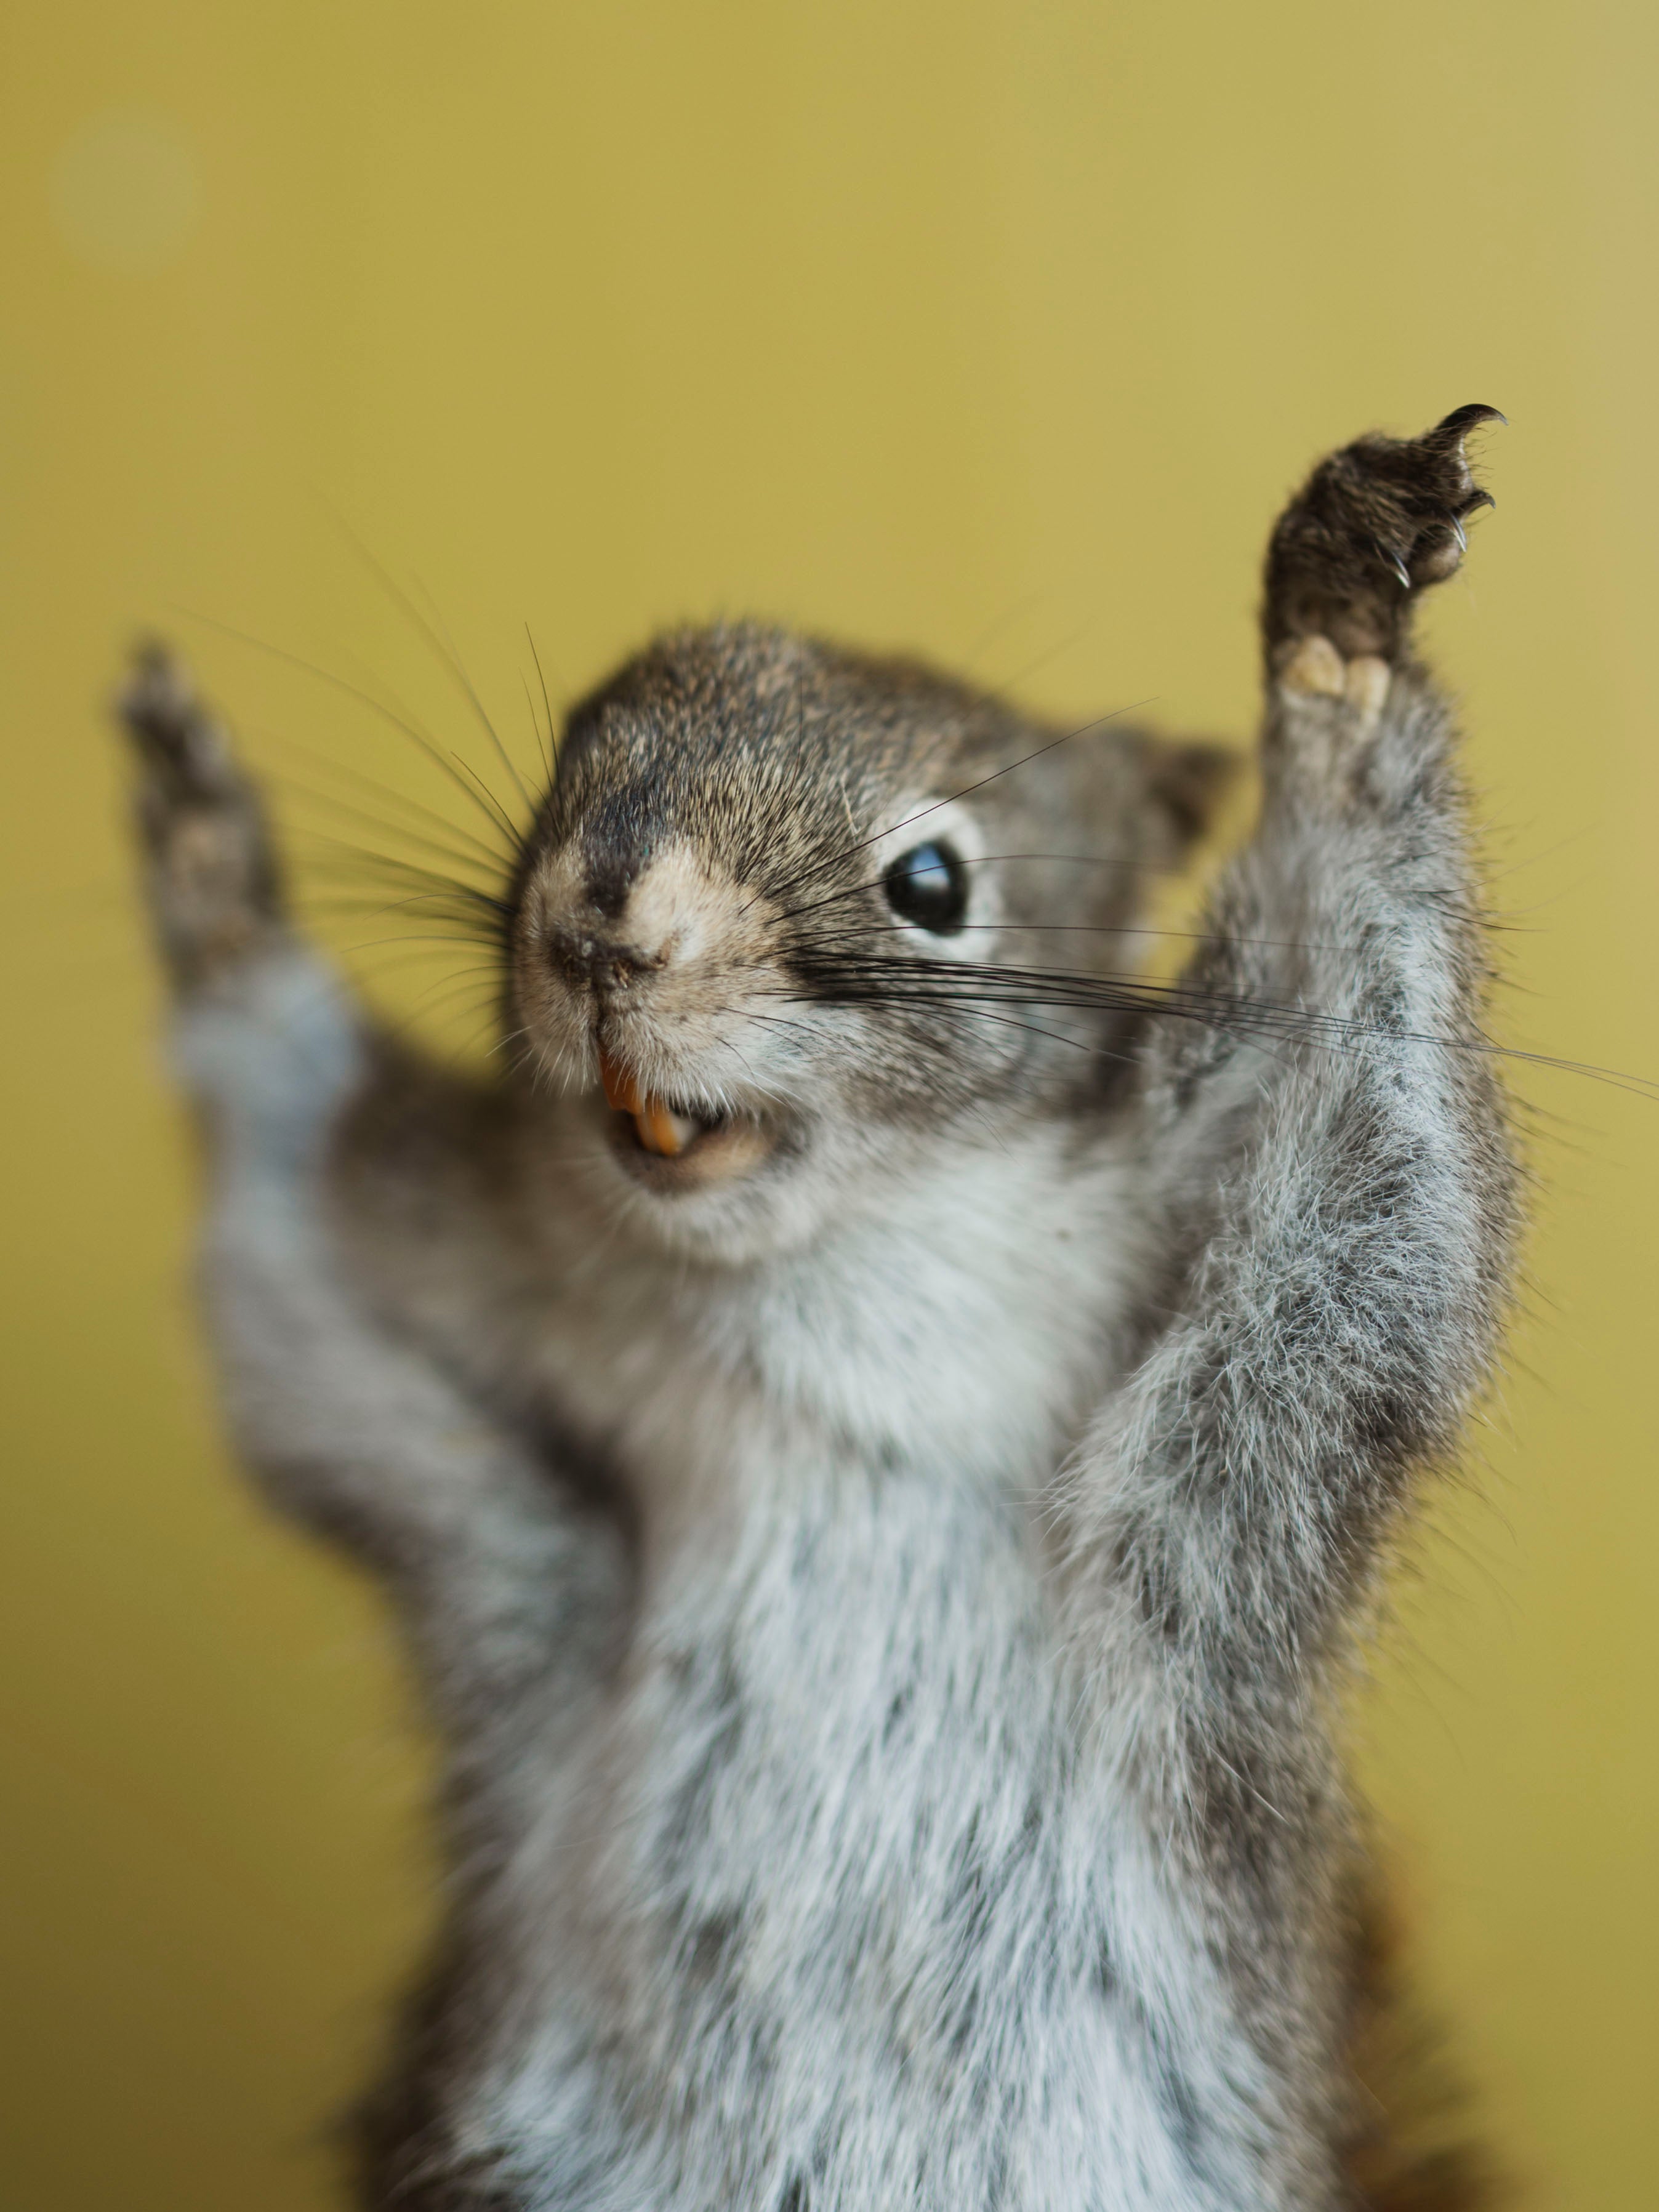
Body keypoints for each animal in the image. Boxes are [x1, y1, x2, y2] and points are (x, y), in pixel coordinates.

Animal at [119, 409, 1518, 2212]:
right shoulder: (477, 1345)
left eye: (929, 882)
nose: (604, 926)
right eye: (579, 744)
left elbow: (1376, 1178)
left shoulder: (1239, 1369)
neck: (809, 1279)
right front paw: (214, 876)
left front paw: (1339, 625)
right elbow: (295, 1300)